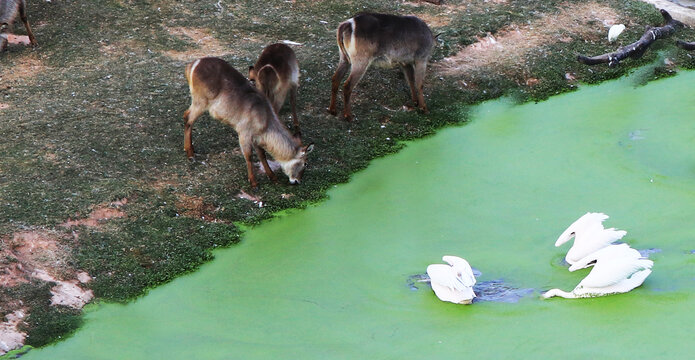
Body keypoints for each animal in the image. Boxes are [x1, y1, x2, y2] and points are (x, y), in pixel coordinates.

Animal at [185, 56, 316, 188]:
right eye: (305, 163)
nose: (297, 181)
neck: (265, 118)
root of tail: (193, 64)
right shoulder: (244, 133)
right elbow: (249, 156)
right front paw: (254, 182)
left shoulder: (256, 137)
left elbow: (262, 155)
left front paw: (272, 176)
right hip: (200, 101)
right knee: (187, 118)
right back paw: (190, 154)